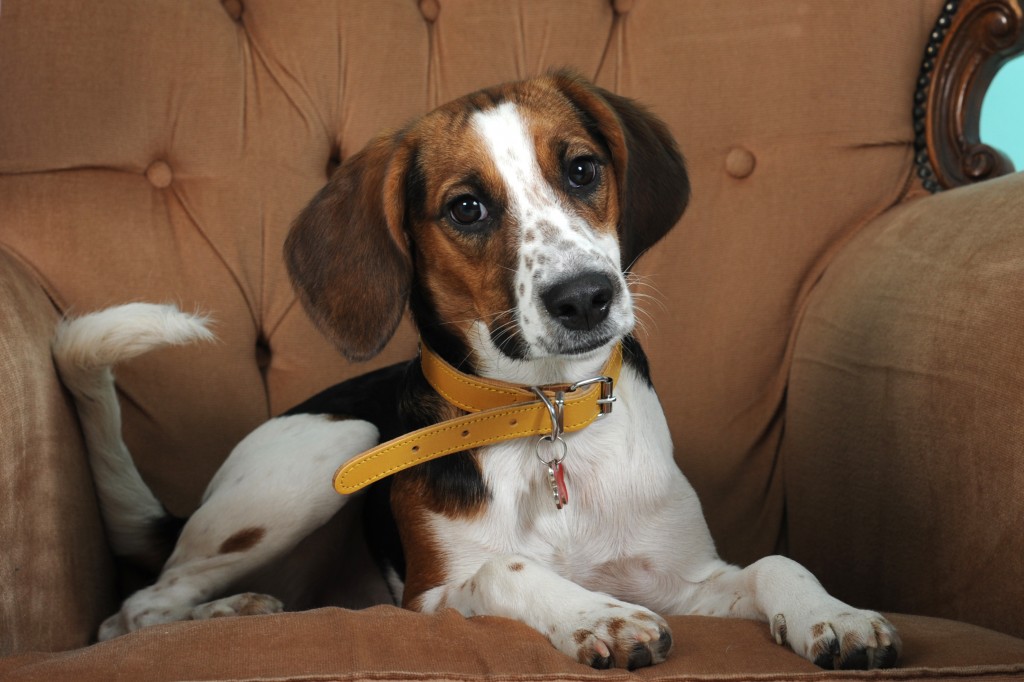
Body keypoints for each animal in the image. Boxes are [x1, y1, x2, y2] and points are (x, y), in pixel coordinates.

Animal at [53, 71, 900, 670]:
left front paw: (835, 615)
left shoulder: (686, 580)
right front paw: (596, 615)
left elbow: (774, 562)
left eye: (583, 169)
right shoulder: (429, 597)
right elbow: (508, 568)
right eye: (466, 208)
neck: (545, 412)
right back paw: (226, 611)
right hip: (333, 448)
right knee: (135, 612)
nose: (585, 296)